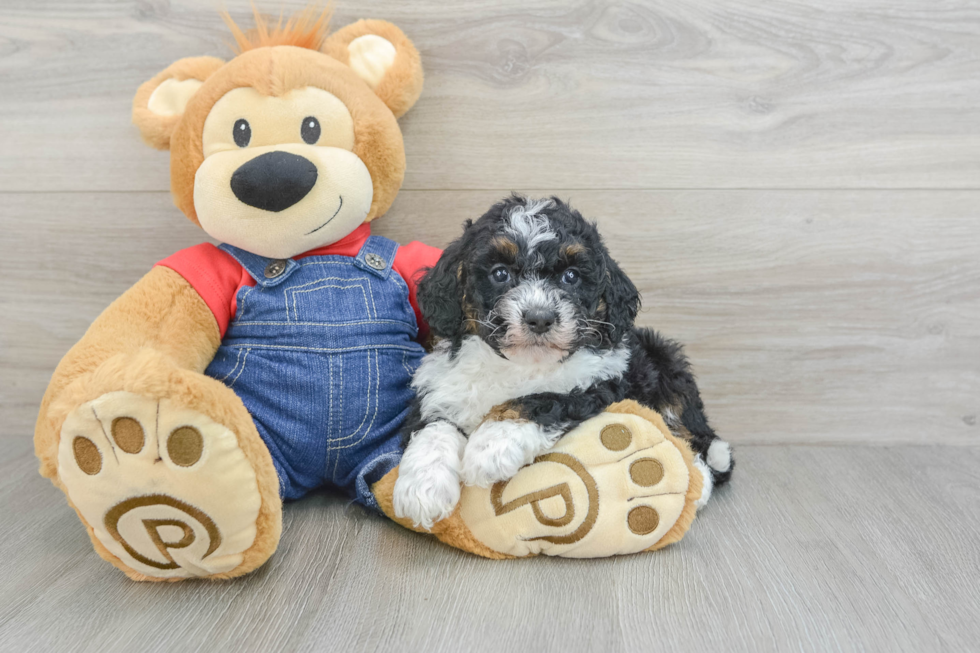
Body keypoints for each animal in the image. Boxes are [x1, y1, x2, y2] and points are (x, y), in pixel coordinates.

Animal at [394, 196, 732, 528]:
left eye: (571, 277)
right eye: (500, 273)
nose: (540, 318)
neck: (520, 363)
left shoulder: (599, 384)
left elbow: (542, 399)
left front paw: (491, 446)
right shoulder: (441, 384)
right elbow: (433, 426)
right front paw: (422, 488)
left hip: (667, 368)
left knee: (693, 441)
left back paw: (697, 485)